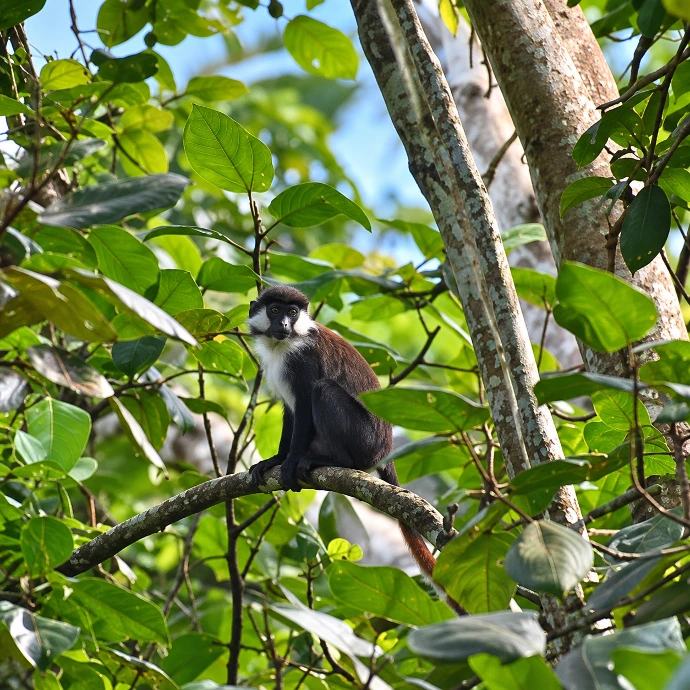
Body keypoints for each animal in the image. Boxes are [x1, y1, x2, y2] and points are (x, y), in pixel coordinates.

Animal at [246, 285, 466, 615]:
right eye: (275, 310)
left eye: (292, 312)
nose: (283, 323)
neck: (284, 345)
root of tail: (385, 450)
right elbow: (290, 412)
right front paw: (276, 460)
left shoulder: (302, 360)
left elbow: (304, 407)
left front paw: (291, 462)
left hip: (363, 439)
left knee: (323, 390)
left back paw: (331, 460)